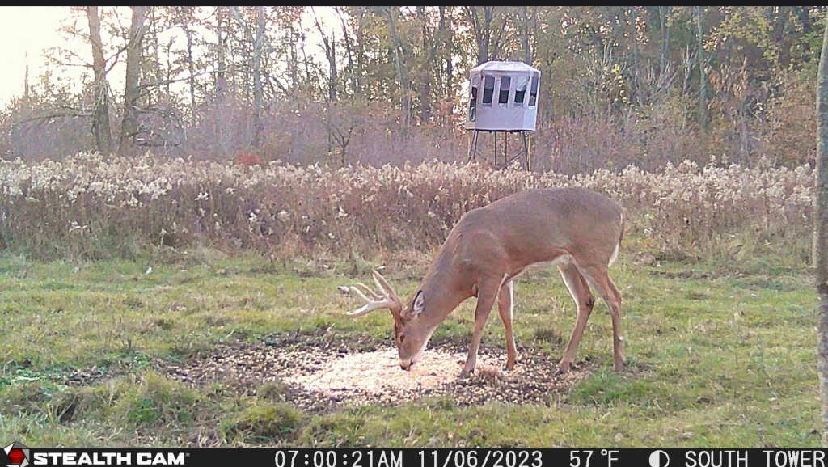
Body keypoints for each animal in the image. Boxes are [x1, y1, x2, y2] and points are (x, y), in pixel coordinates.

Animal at [340, 186, 625, 378]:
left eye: (401, 335)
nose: (404, 364)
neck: (461, 260)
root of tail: (621, 214)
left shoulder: (491, 272)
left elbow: (480, 319)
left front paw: (468, 367)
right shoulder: (506, 275)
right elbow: (506, 314)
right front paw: (511, 361)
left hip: (592, 256)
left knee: (614, 297)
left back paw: (618, 361)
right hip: (568, 263)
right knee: (586, 301)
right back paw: (565, 363)